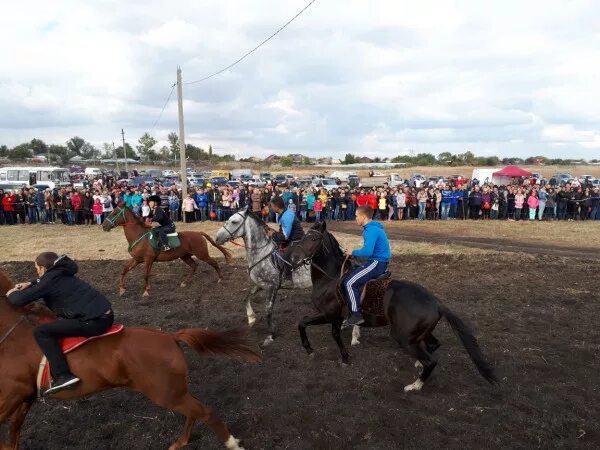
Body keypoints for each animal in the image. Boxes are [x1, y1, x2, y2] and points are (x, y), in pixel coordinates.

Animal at [0, 270, 260, 450]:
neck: (15, 334)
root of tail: (170, 337)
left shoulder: (10, 397)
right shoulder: (22, 401)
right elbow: (12, 439)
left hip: (165, 393)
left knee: (205, 412)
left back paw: (232, 444)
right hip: (174, 392)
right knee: (195, 412)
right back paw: (180, 442)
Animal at [101, 205, 232, 298]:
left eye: (114, 213)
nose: (103, 226)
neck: (139, 236)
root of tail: (199, 233)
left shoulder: (148, 259)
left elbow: (145, 275)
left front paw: (146, 291)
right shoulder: (137, 259)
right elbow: (124, 271)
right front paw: (122, 289)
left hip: (202, 254)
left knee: (213, 262)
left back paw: (220, 278)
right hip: (185, 256)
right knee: (194, 266)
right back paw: (185, 282)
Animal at [214, 208, 310, 348]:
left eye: (234, 221)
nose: (217, 238)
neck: (262, 252)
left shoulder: (272, 287)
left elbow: (268, 310)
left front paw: (270, 335)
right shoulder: (259, 284)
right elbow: (246, 298)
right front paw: (251, 318)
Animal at [286, 223, 496, 392]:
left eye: (313, 238)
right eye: (302, 237)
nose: (294, 258)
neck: (331, 279)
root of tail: (436, 302)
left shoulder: (330, 315)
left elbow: (311, 326)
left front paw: (333, 355)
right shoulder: (334, 317)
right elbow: (310, 326)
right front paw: (324, 351)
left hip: (404, 336)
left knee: (431, 361)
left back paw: (415, 385)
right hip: (419, 334)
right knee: (434, 345)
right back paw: (418, 364)